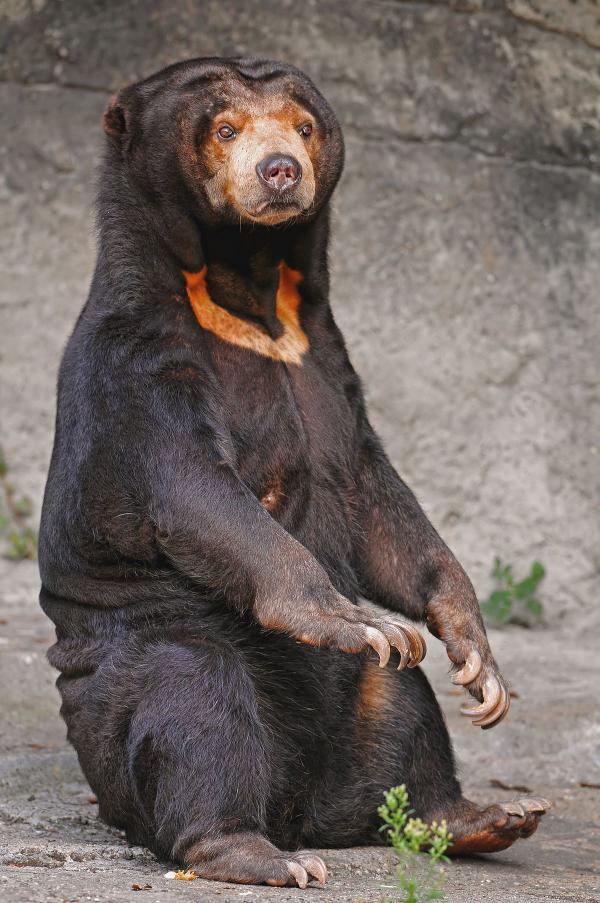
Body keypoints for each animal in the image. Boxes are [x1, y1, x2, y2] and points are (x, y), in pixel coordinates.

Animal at [39, 57, 550, 888]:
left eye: (304, 125)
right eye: (224, 128)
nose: (280, 169)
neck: (247, 290)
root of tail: (300, 806)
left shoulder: (326, 355)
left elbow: (376, 497)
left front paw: (479, 662)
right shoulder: (138, 354)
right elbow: (194, 488)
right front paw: (356, 618)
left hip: (360, 713)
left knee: (404, 704)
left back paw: (479, 814)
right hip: (129, 679)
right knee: (198, 705)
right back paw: (258, 852)